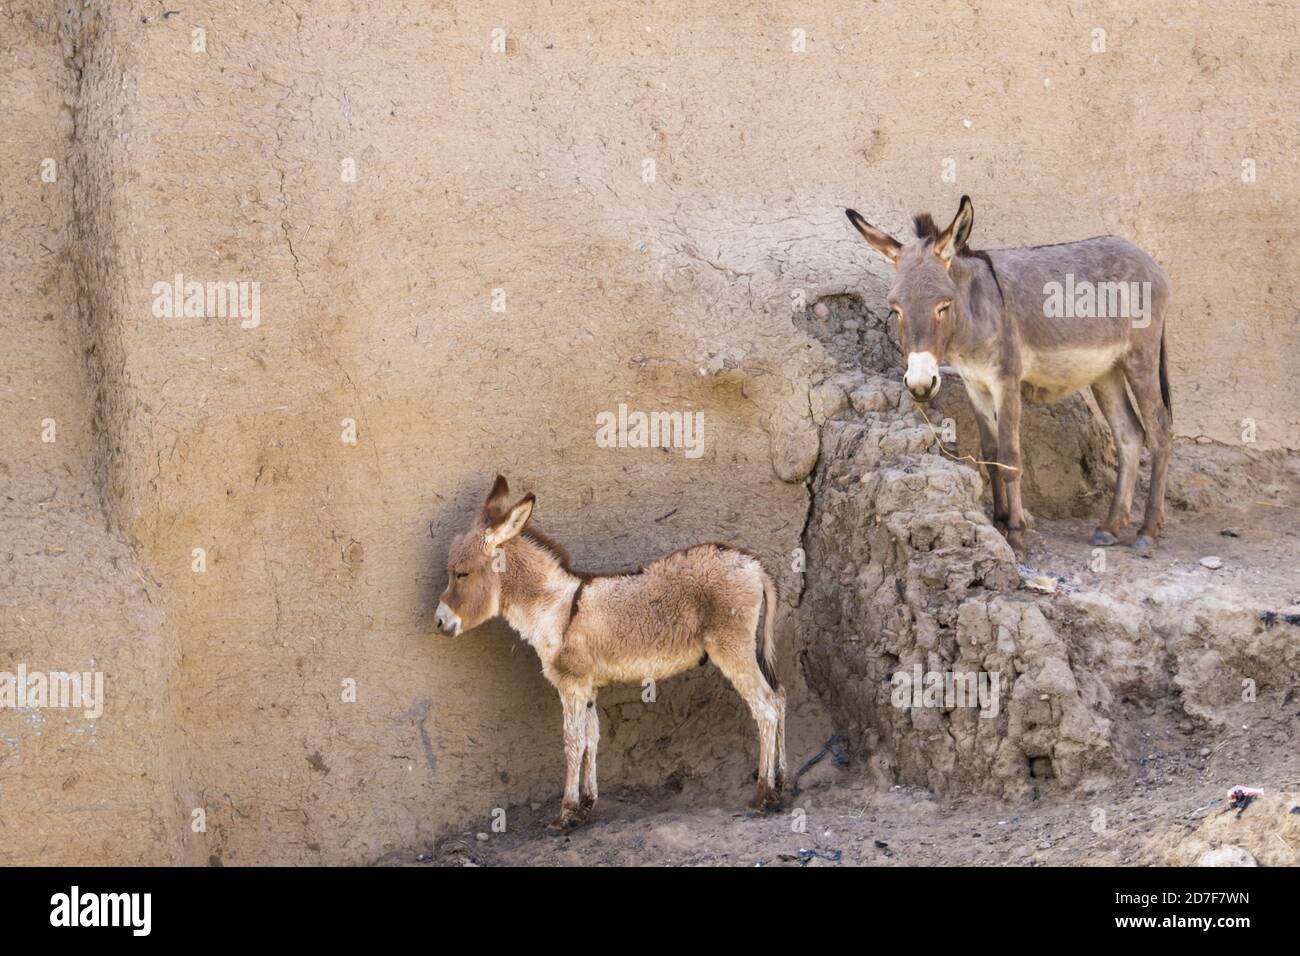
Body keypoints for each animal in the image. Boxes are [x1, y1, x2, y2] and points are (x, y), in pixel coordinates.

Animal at [436, 478, 785, 832]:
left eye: (461, 573)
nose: (439, 622)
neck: (554, 608)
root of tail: (756, 566)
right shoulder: (588, 686)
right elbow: (592, 737)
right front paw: (586, 806)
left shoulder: (572, 684)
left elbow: (573, 742)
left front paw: (565, 813)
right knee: (780, 698)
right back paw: (780, 786)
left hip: (732, 648)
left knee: (766, 708)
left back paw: (763, 795)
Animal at [847, 197, 1175, 556]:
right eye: (896, 309)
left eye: (943, 306)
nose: (920, 385)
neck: (974, 313)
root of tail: (1146, 258)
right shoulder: (974, 384)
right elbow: (989, 453)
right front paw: (999, 521)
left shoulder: (1006, 381)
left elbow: (1009, 456)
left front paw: (1016, 531)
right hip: (1106, 370)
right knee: (1130, 434)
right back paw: (1111, 526)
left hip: (1141, 358)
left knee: (1160, 430)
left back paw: (1148, 529)